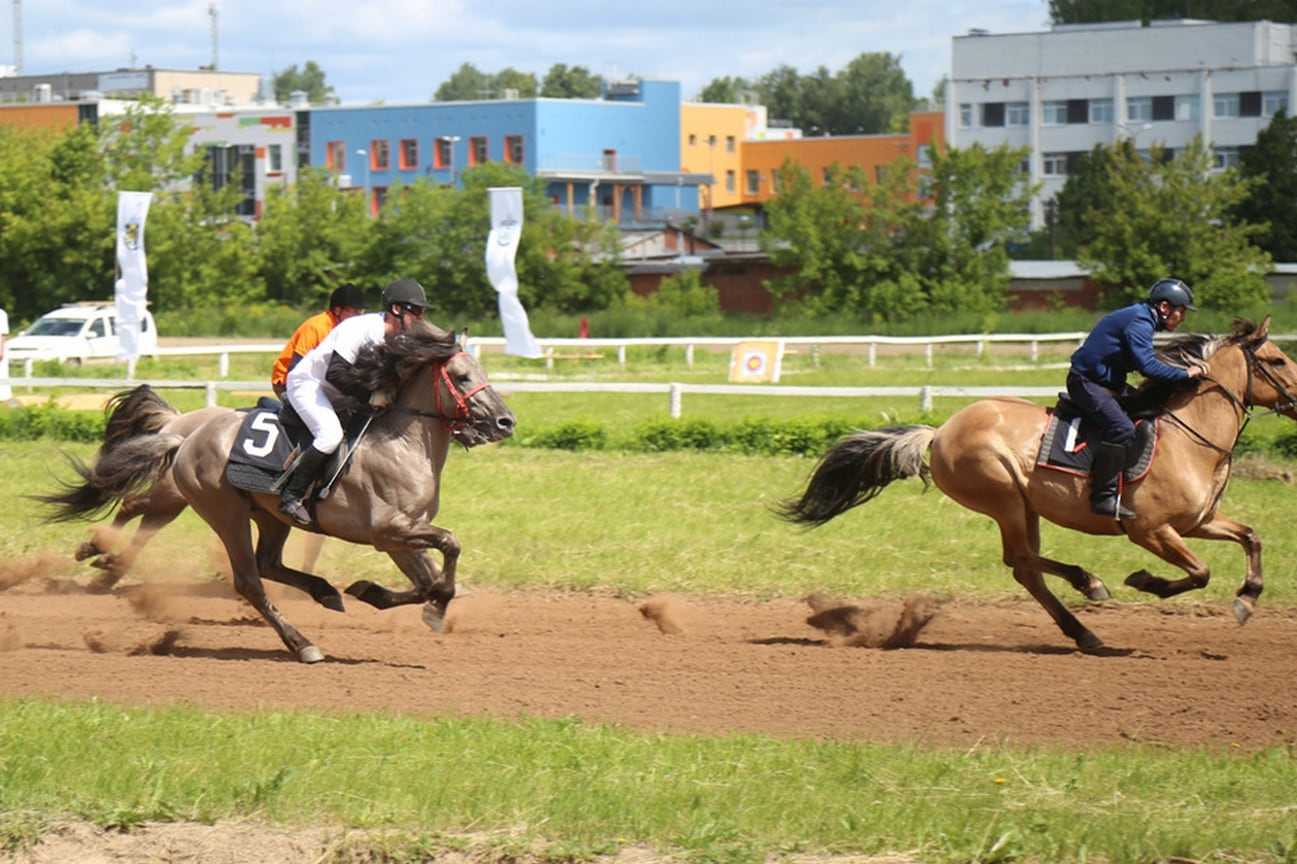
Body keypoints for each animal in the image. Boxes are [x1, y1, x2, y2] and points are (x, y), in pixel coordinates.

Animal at [36, 323, 511, 659]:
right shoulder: (388, 529)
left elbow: (427, 578)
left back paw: (324, 592)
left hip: (266, 513)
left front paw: (382, 594)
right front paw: (433, 606)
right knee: (248, 579)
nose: (506, 422)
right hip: (222, 512)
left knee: (265, 562)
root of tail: (184, 436)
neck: (403, 444)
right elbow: (449, 546)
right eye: (461, 376)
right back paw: (303, 645)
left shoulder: (399, 537)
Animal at [773, 316, 1297, 646]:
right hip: (1004, 498)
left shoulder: (1196, 522)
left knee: (1025, 567)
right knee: (1022, 561)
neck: (1190, 436)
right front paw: (1144, 581)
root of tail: (940, 431)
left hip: (1025, 506)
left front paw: (1247, 600)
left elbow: (1251, 538)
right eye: (1277, 360)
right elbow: (1200, 572)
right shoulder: (1151, 530)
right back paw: (1089, 585)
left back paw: (1083, 626)